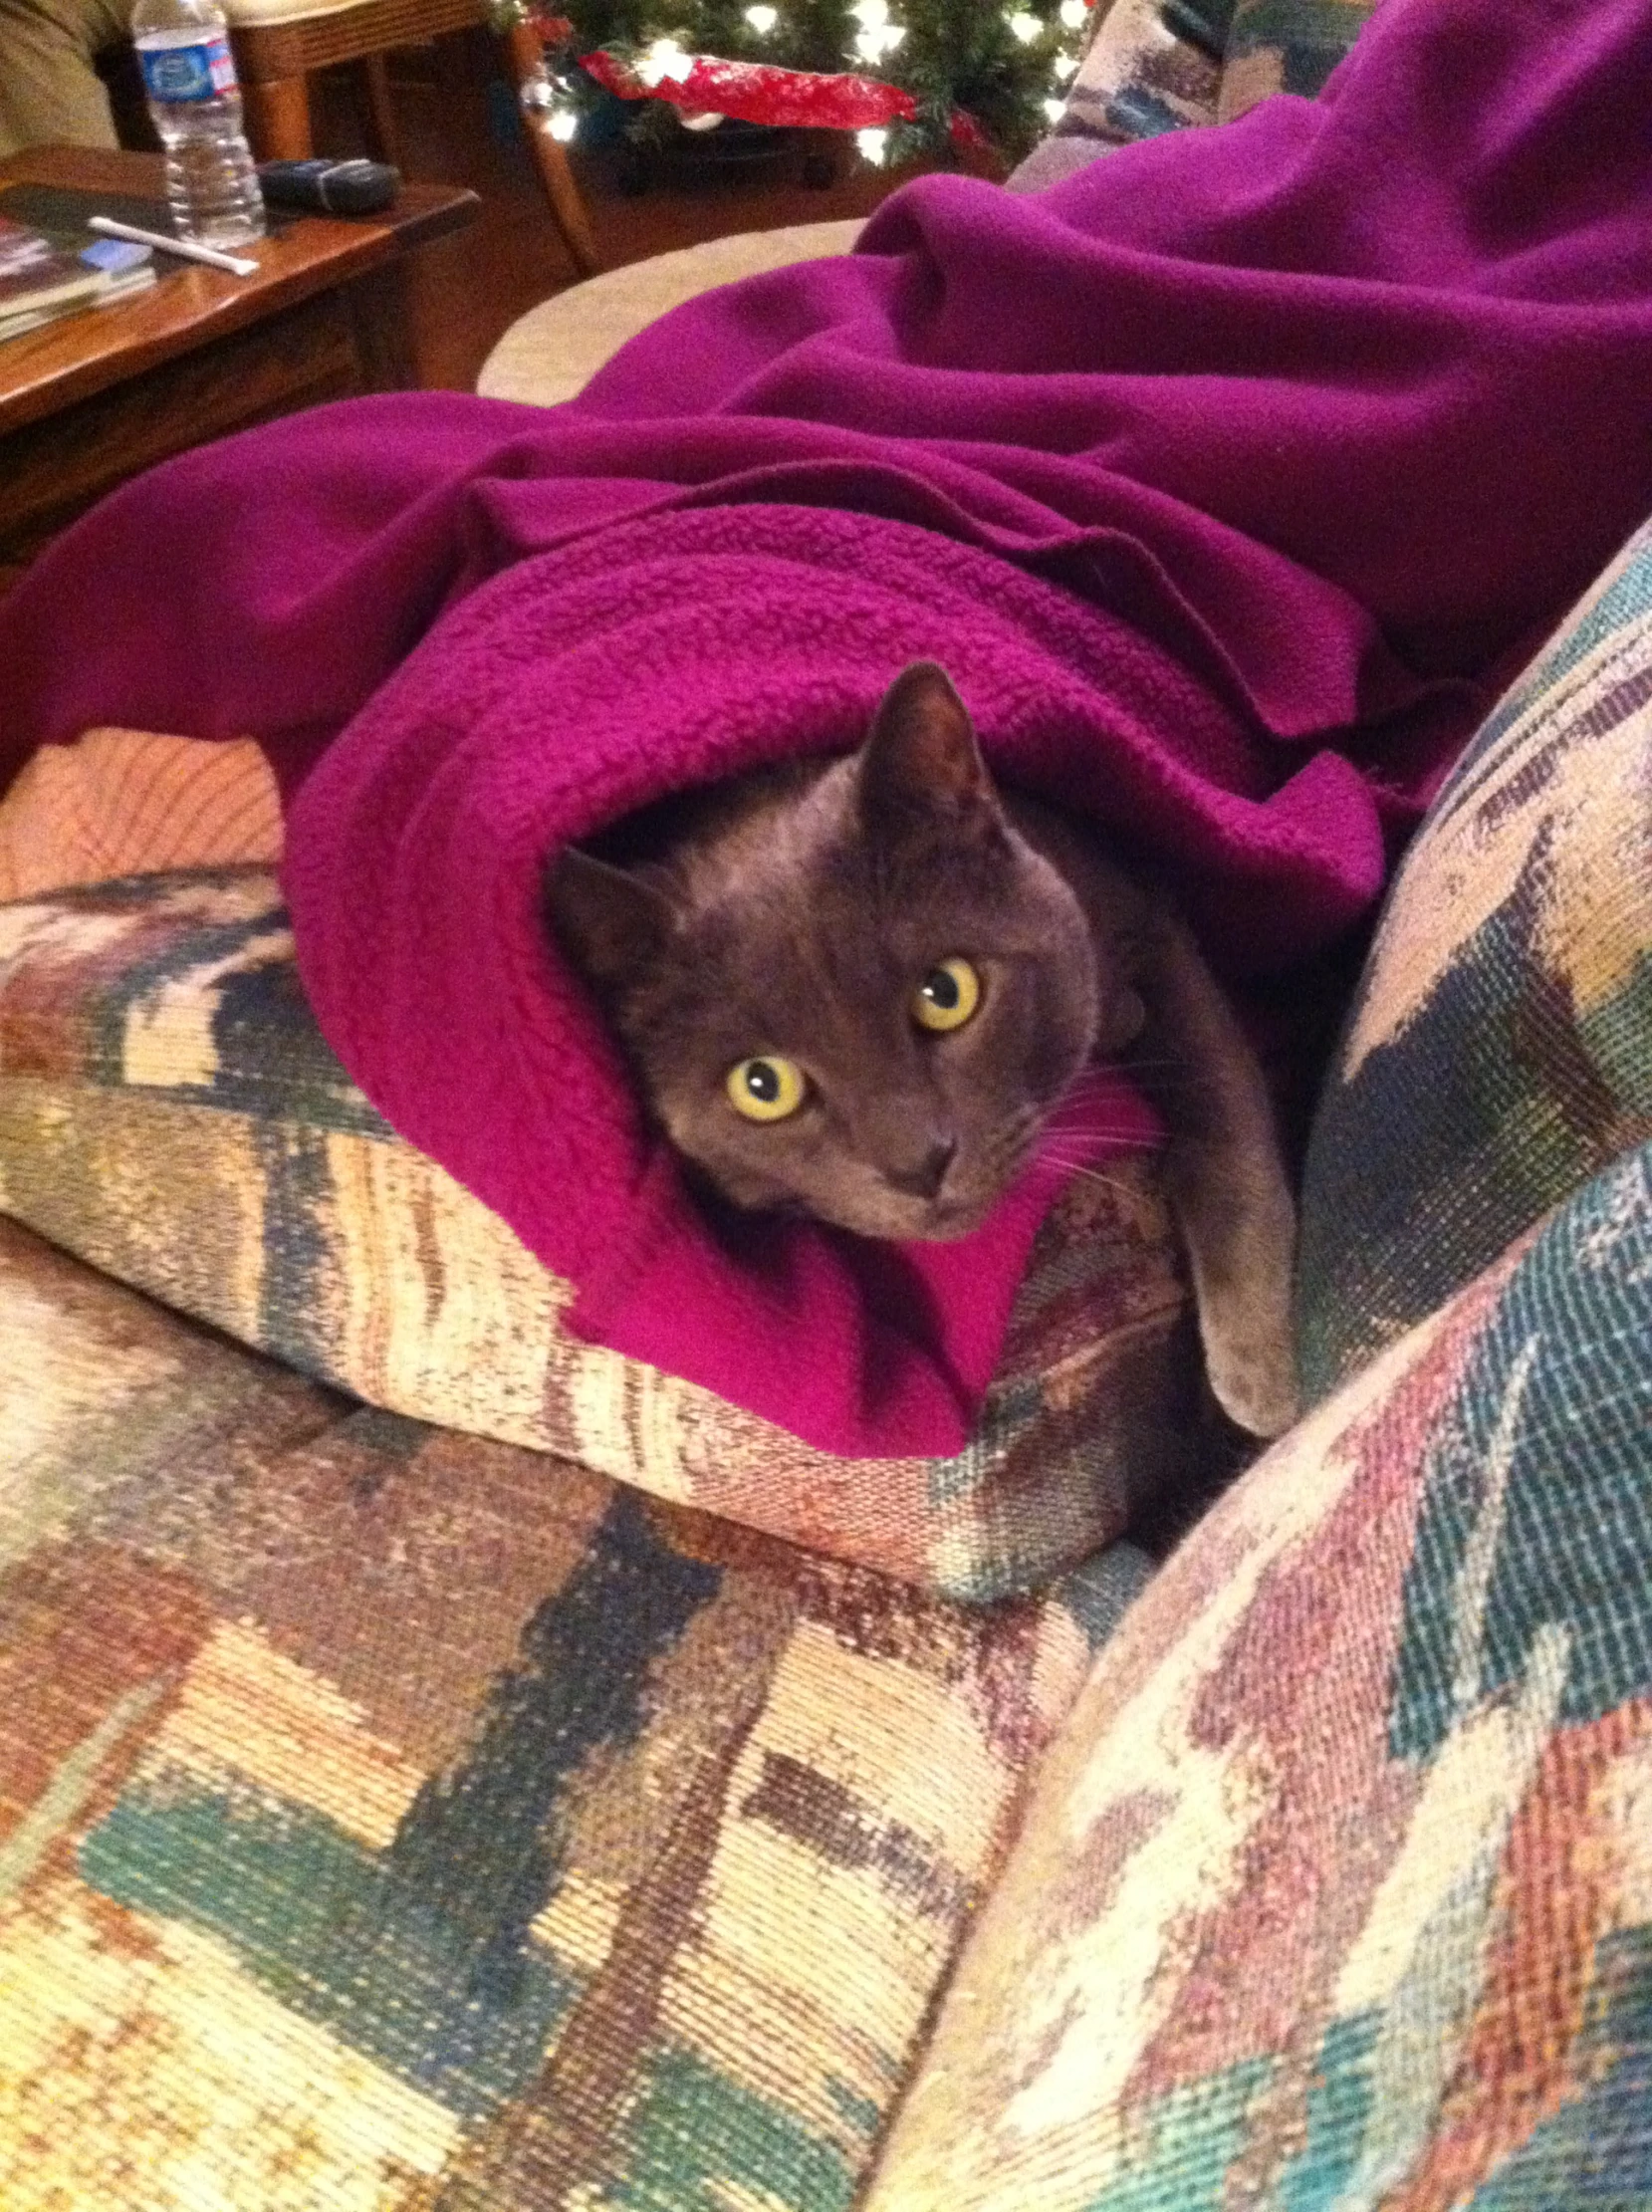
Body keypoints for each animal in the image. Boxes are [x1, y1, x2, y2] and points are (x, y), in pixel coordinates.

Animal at [548, 663, 1299, 1442]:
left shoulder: (1149, 915)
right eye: (762, 1085)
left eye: (946, 992)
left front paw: (1258, 1378)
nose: (918, 1164)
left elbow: (1219, 1105)